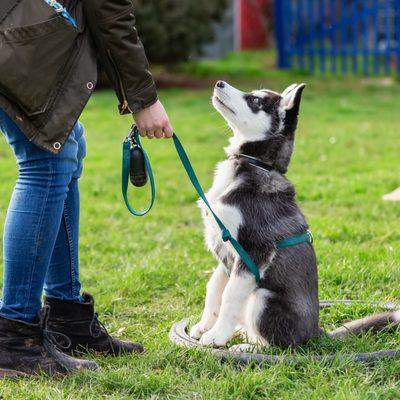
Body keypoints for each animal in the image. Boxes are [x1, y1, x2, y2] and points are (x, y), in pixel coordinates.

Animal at [191, 82, 400, 350]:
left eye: (255, 100)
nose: (219, 83)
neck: (256, 164)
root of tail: (315, 333)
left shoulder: (254, 251)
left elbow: (229, 295)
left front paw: (216, 336)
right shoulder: (226, 251)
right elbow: (214, 288)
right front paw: (204, 326)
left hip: (263, 297)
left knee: (279, 345)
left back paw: (247, 346)